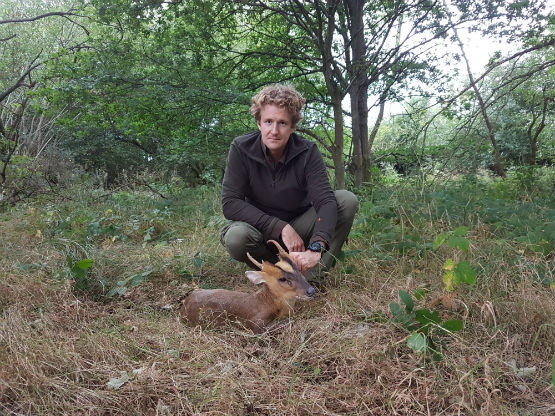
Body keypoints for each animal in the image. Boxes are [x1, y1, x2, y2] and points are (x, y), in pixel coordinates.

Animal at [179, 240, 314, 332]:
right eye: (282, 279)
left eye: (298, 269)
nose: (310, 291)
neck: (264, 303)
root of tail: (184, 303)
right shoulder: (255, 324)